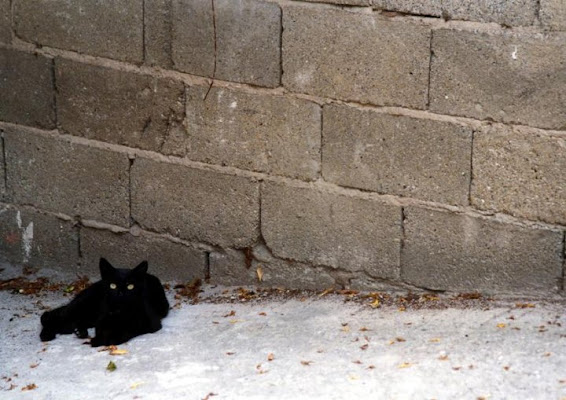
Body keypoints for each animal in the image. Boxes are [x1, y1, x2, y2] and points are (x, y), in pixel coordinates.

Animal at [40, 258, 170, 346]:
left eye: (130, 286)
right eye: (113, 285)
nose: (120, 293)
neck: (119, 311)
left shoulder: (151, 323)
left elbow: (130, 328)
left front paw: (110, 338)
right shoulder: (102, 317)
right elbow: (101, 328)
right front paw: (99, 339)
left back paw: (80, 331)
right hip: (83, 306)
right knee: (54, 317)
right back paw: (46, 334)